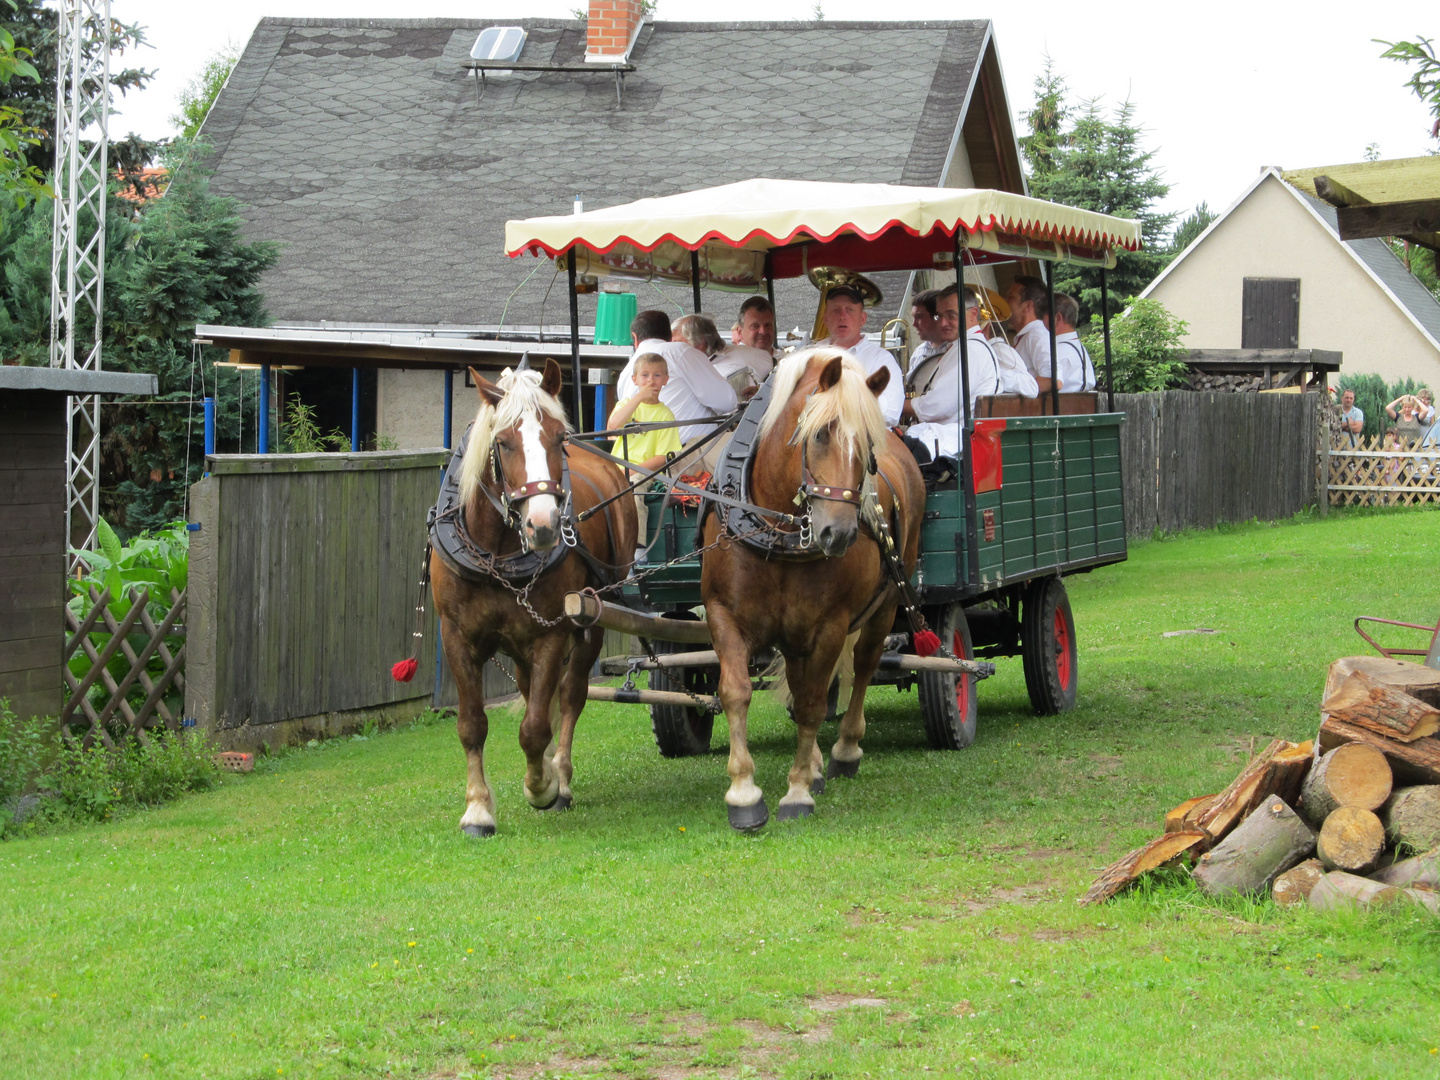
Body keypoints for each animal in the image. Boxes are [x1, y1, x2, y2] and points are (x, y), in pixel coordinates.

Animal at [429, 360, 639, 840]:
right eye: (502, 443)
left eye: (559, 437)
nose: (543, 525)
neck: (498, 553)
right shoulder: (456, 636)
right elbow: (472, 725)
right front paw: (477, 810)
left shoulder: (551, 635)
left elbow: (537, 725)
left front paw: (542, 786)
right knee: (533, 691)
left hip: (593, 620)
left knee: (573, 694)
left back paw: (559, 776)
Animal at [696, 351, 921, 835]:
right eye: (820, 433)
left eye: (868, 448)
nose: (840, 534)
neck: (775, 529)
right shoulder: (723, 615)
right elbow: (736, 692)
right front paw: (744, 793)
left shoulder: (830, 626)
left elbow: (815, 703)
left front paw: (797, 791)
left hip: (885, 605)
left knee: (864, 666)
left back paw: (844, 751)